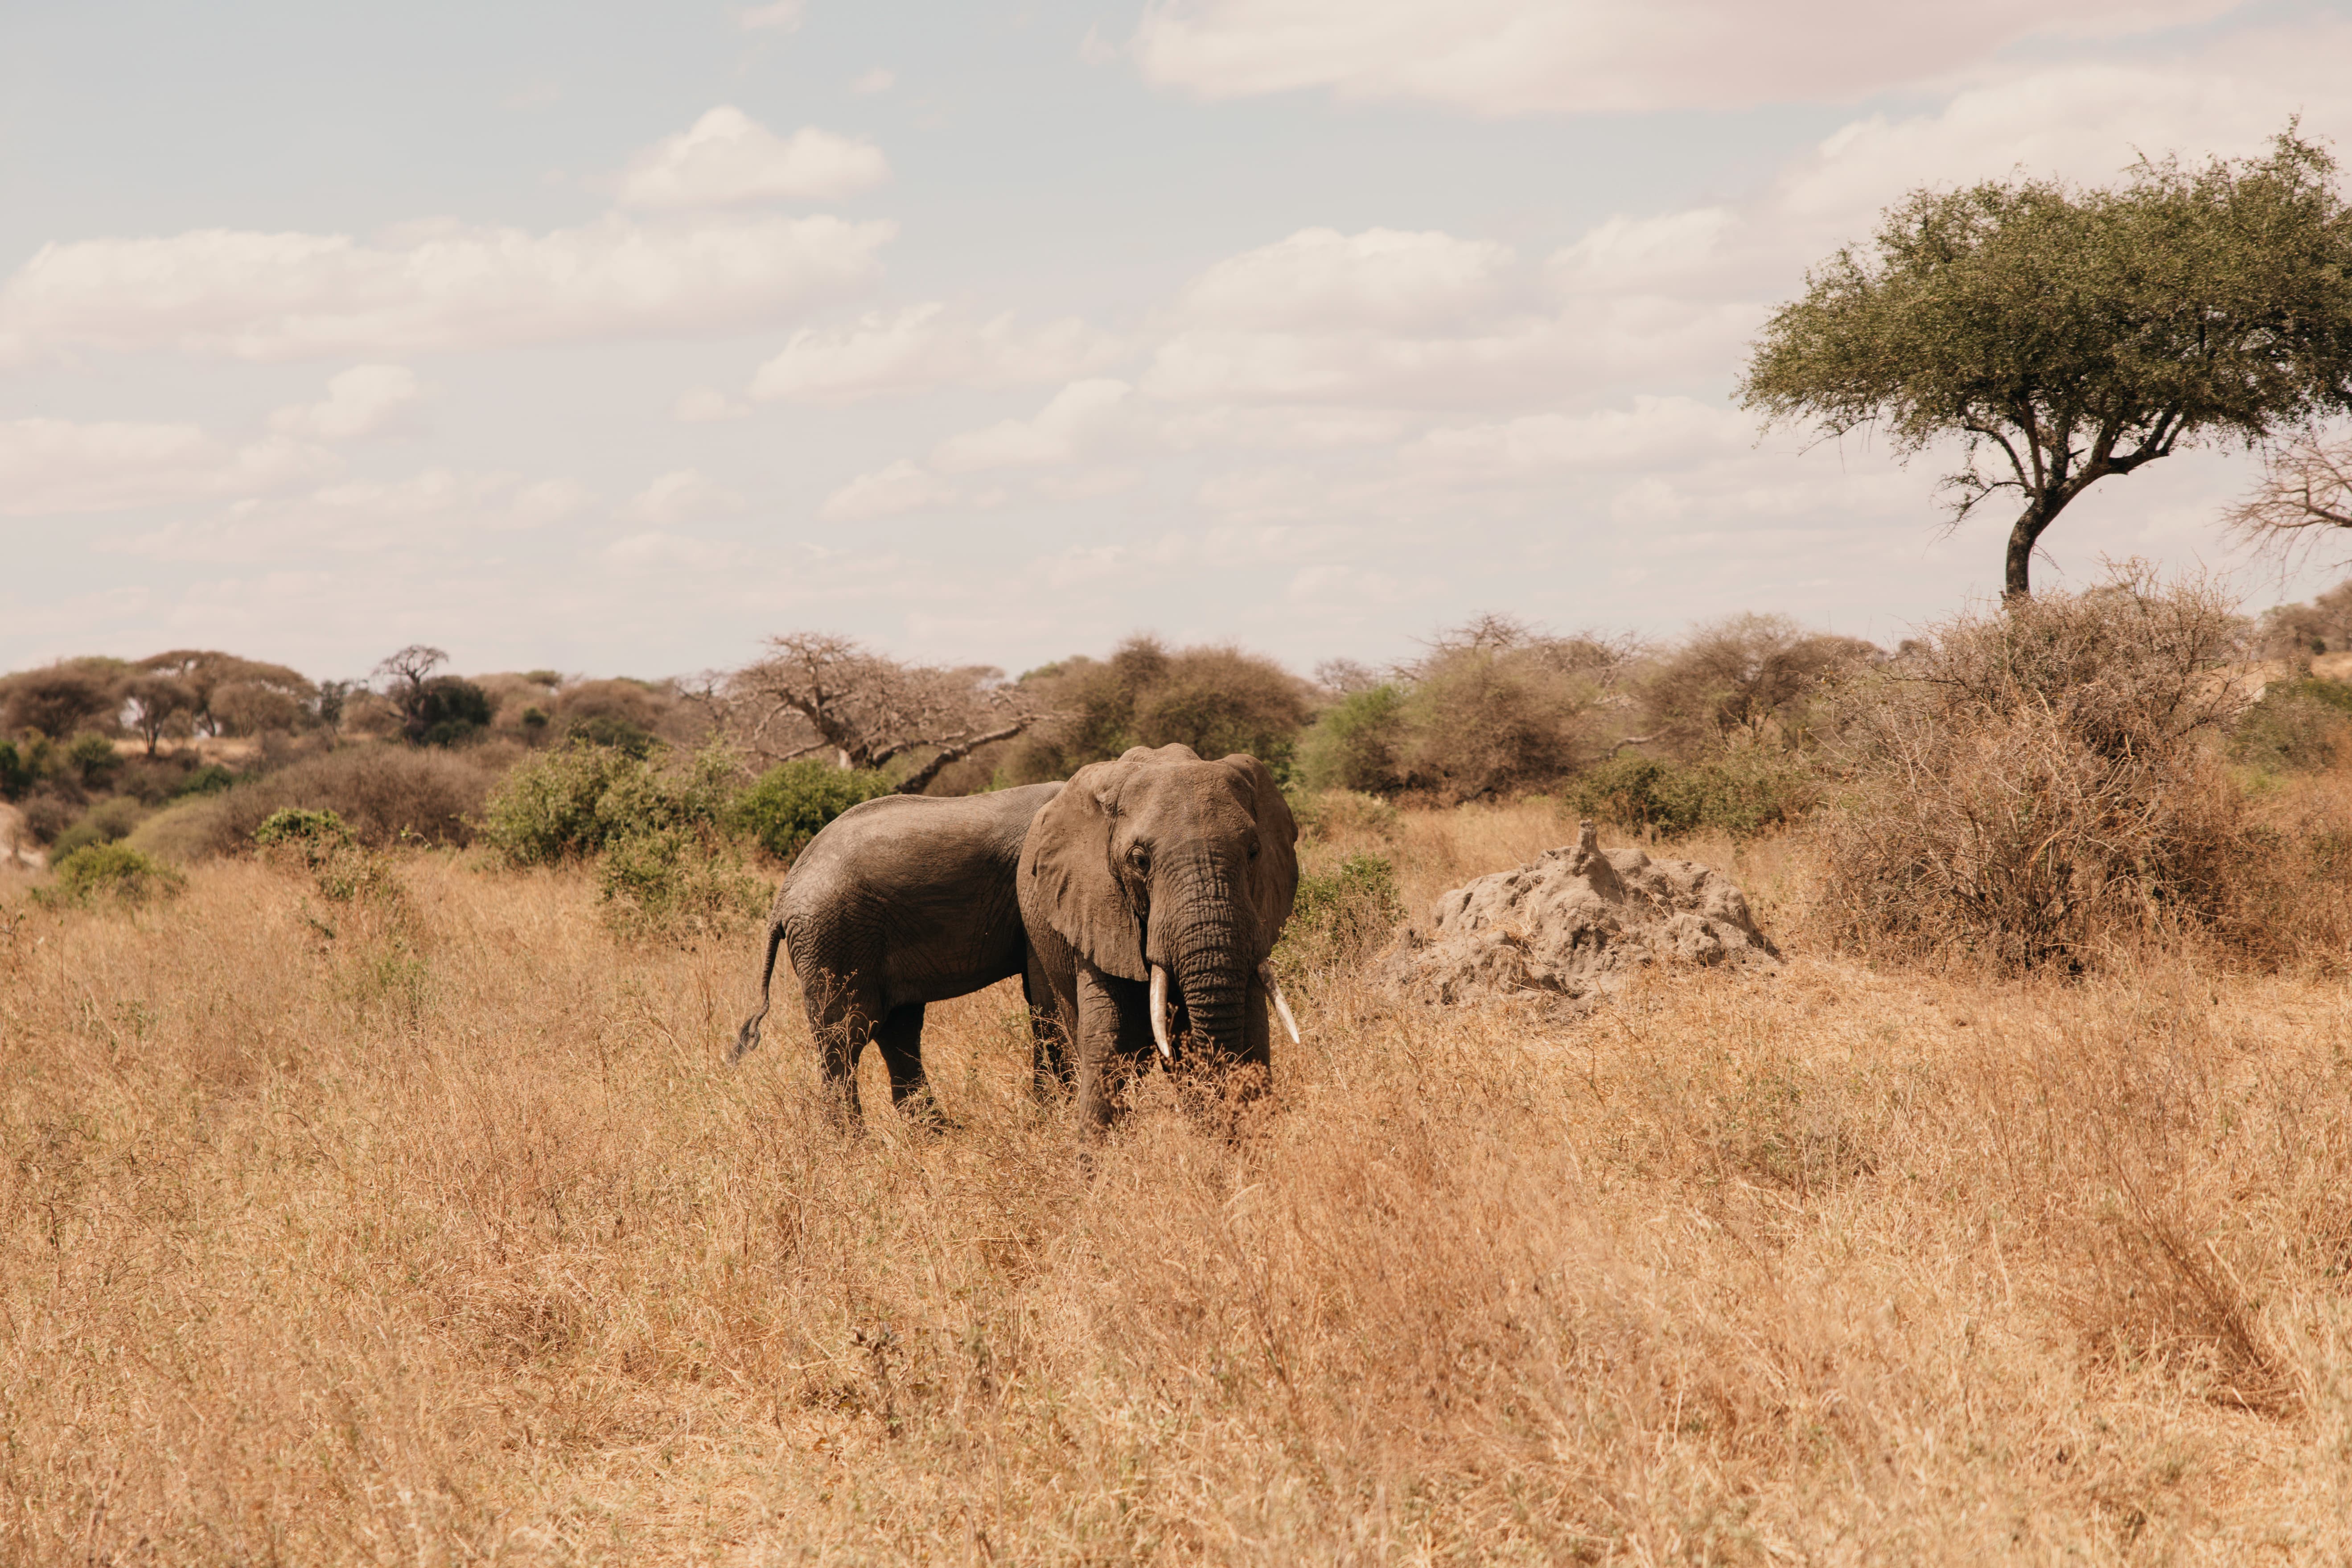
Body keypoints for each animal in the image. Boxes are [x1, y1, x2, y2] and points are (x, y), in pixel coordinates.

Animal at [734, 781, 1064, 1122]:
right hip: (836, 936)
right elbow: (1049, 996)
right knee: (847, 1036)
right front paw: (1051, 1118)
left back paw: (938, 1129)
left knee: (898, 1028)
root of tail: (783, 897)